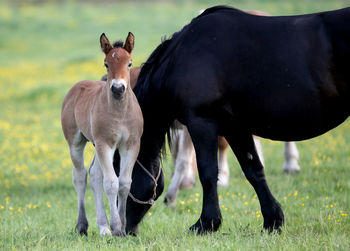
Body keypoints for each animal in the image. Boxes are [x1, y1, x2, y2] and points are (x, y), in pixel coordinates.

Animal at [121, 6, 350, 235]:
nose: (124, 230)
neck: (182, 57)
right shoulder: (234, 127)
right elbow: (253, 169)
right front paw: (272, 220)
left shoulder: (202, 122)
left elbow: (208, 172)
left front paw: (206, 223)